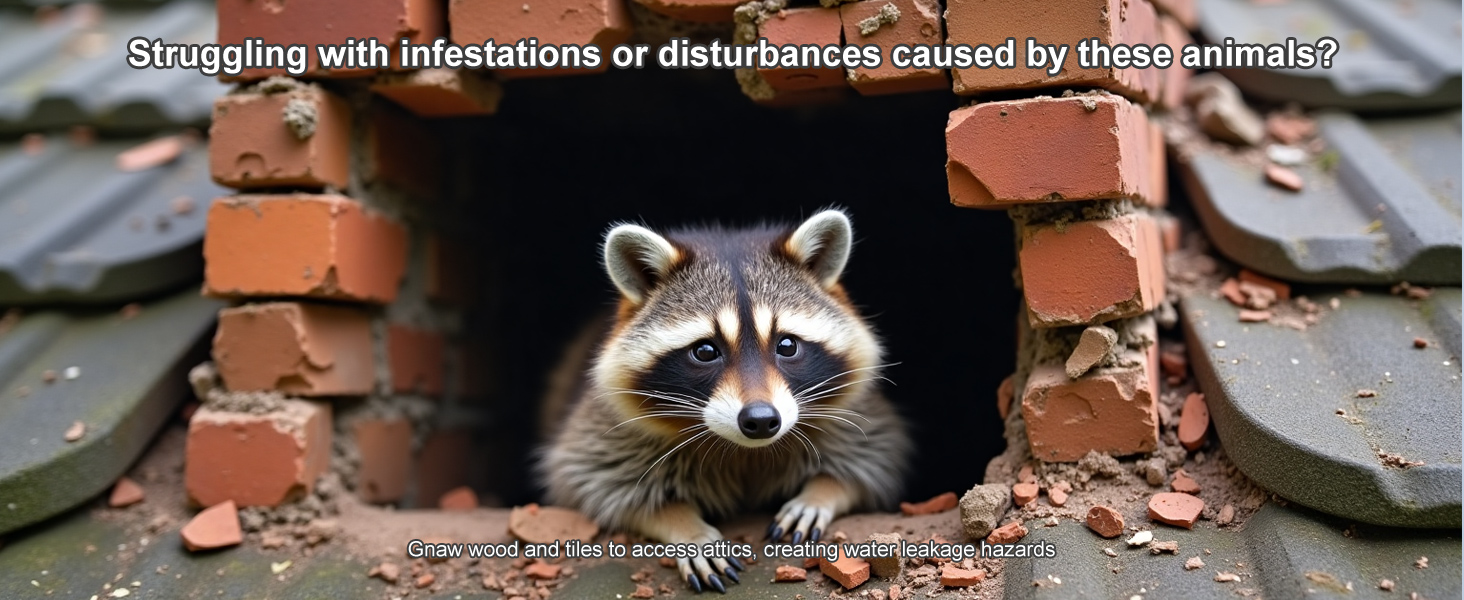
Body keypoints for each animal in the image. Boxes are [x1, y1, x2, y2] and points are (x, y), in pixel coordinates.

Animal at [537, 209, 911, 592]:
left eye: (787, 345)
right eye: (705, 351)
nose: (760, 420)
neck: (746, 451)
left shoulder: (860, 414)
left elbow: (873, 460)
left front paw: (821, 491)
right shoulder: (604, 428)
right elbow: (596, 485)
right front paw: (686, 526)